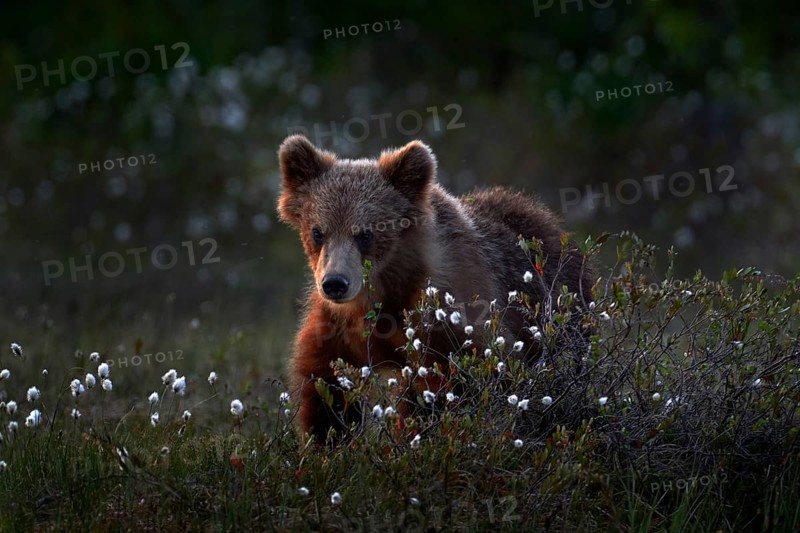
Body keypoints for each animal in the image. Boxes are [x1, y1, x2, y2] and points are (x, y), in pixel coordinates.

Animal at [277, 134, 594, 444]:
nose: (335, 283)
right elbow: (323, 384)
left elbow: (466, 378)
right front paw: (325, 436)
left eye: (365, 234)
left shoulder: (450, 317)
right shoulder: (337, 327)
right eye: (318, 232)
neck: (386, 289)